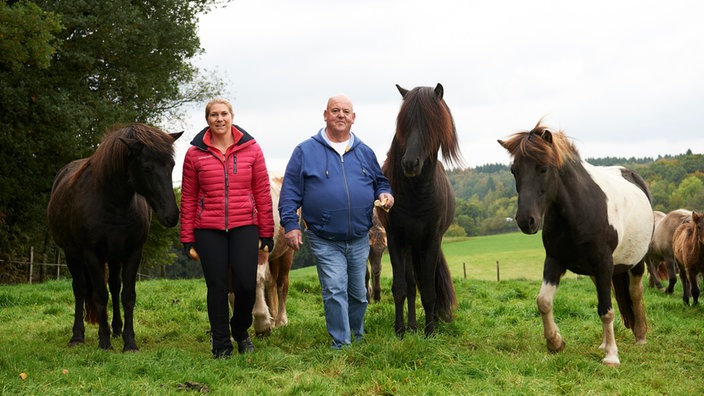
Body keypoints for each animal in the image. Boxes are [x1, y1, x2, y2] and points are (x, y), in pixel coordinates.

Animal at [47, 123, 183, 350]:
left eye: (171, 165)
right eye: (147, 168)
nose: (171, 215)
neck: (114, 202)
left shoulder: (133, 252)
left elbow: (127, 295)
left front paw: (130, 342)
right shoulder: (91, 254)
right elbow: (100, 295)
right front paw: (104, 342)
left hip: (114, 256)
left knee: (114, 286)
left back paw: (117, 329)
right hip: (72, 254)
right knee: (80, 289)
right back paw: (77, 336)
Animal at [380, 83, 462, 338]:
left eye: (431, 123)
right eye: (404, 124)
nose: (410, 163)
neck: (416, 194)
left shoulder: (431, 240)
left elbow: (428, 289)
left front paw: (430, 332)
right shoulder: (396, 239)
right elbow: (400, 287)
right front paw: (400, 330)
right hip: (409, 246)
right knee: (410, 284)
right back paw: (412, 325)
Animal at [498, 119, 652, 366]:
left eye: (543, 168)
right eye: (514, 170)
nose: (525, 220)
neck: (577, 211)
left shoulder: (603, 263)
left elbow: (607, 310)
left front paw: (611, 356)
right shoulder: (554, 261)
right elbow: (544, 301)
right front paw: (555, 342)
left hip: (635, 263)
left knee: (635, 293)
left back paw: (640, 336)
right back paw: (603, 343)